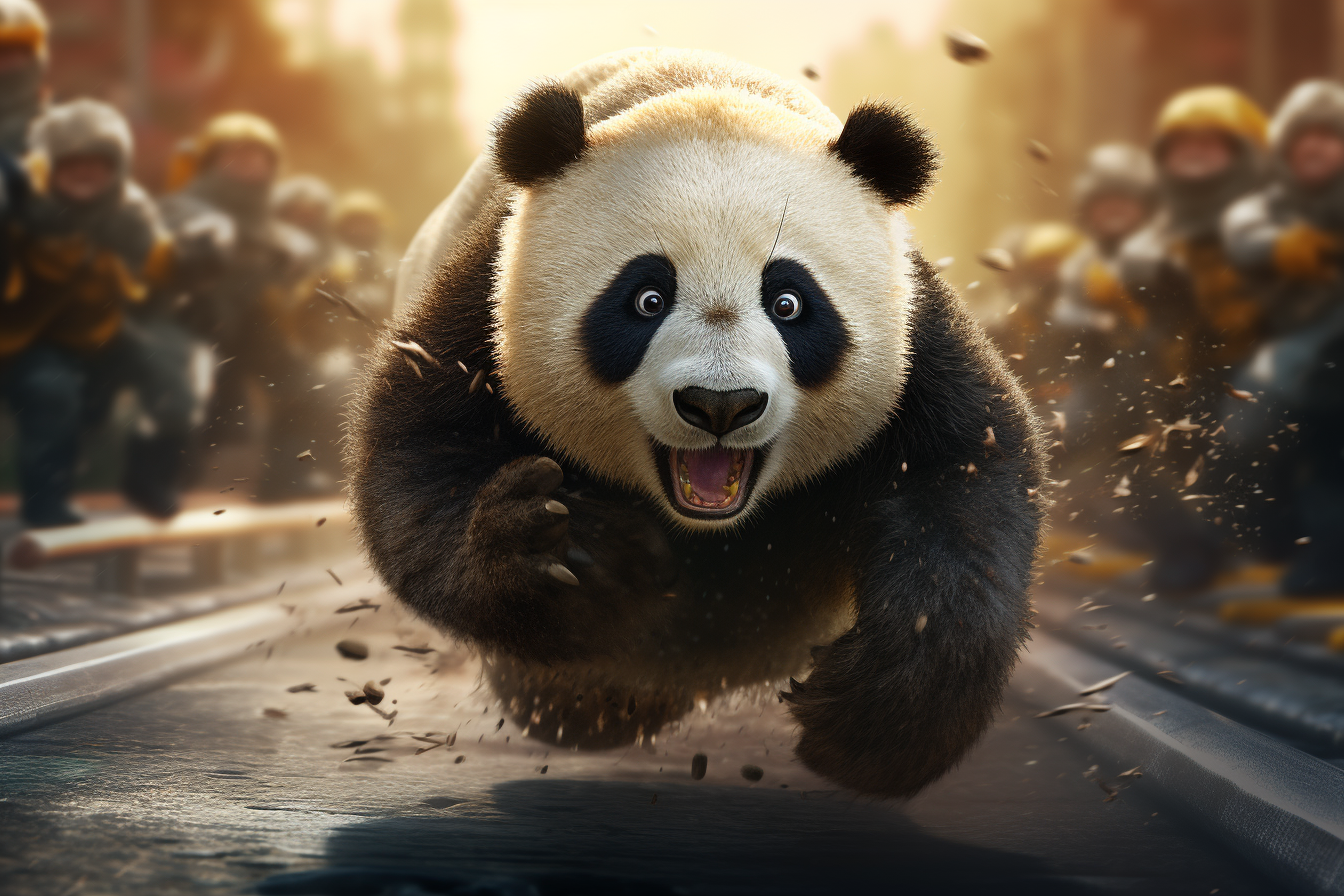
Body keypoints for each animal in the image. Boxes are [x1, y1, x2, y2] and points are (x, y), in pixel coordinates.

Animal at [347, 48, 1046, 798]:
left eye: (789, 301)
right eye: (647, 298)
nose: (720, 405)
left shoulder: (916, 342)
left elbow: (965, 483)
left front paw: (866, 721)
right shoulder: (485, 299)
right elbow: (417, 464)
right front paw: (564, 547)